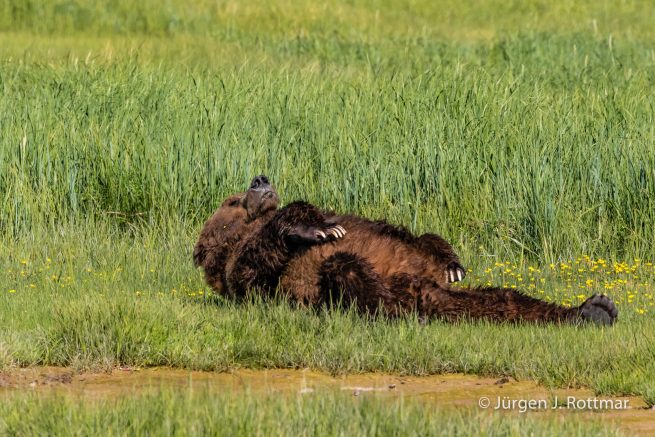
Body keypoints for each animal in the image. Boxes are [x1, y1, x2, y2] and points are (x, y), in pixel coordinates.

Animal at [193, 175, 618, 325]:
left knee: (500, 299)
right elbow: (255, 265)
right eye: (231, 200)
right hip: (387, 286)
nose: (260, 179)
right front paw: (315, 229)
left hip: (436, 284)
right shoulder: (249, 275)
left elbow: (410, 232)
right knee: (348, 269)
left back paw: (594, 309)